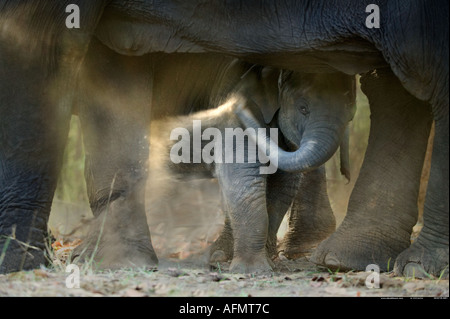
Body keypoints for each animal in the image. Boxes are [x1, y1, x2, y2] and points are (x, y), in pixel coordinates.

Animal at [162, 66, 356, 274]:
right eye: (303, 109)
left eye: (350, 116)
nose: (236, 105)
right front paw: (232, 261)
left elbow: (283, 182)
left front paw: (266, 262)